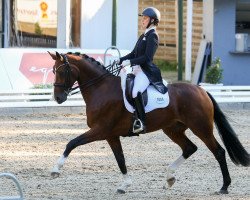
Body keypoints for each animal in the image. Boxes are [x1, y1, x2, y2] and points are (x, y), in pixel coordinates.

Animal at [47, 51, 249, 194]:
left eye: (62, 71)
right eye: (53, 71)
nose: (58, 98)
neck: (101, 89)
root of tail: (202, 90)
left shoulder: (101, 130)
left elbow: (72, 143)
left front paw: (56, 169)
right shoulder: (111, 135)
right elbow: (120, 159)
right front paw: (125, 185)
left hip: (201, 128)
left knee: (219, 151)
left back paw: (224, 187)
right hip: (173, 129)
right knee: (189, 148)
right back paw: (169, 178)